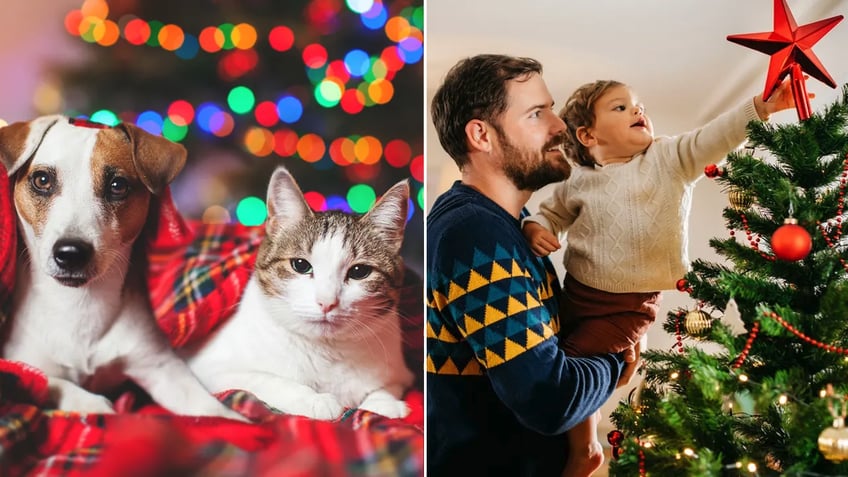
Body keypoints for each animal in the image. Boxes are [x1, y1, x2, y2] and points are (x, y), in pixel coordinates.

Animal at [0, 114, 243, 416]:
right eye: (42, 180)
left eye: (118, 185)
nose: (71, 253)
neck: (79, 305)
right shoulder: (21, 363)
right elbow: (50, 382)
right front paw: (91, 403)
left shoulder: (161, 367)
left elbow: (210, 408)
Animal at [184, 165, 416, 418]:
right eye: (301, 265)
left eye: (359, 271)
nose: (327, 302)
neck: (326, 353)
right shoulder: (210, 369)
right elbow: (265, 380)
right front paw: (314, 400)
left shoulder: (400, 373)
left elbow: (385, 388)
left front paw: (383, 403)